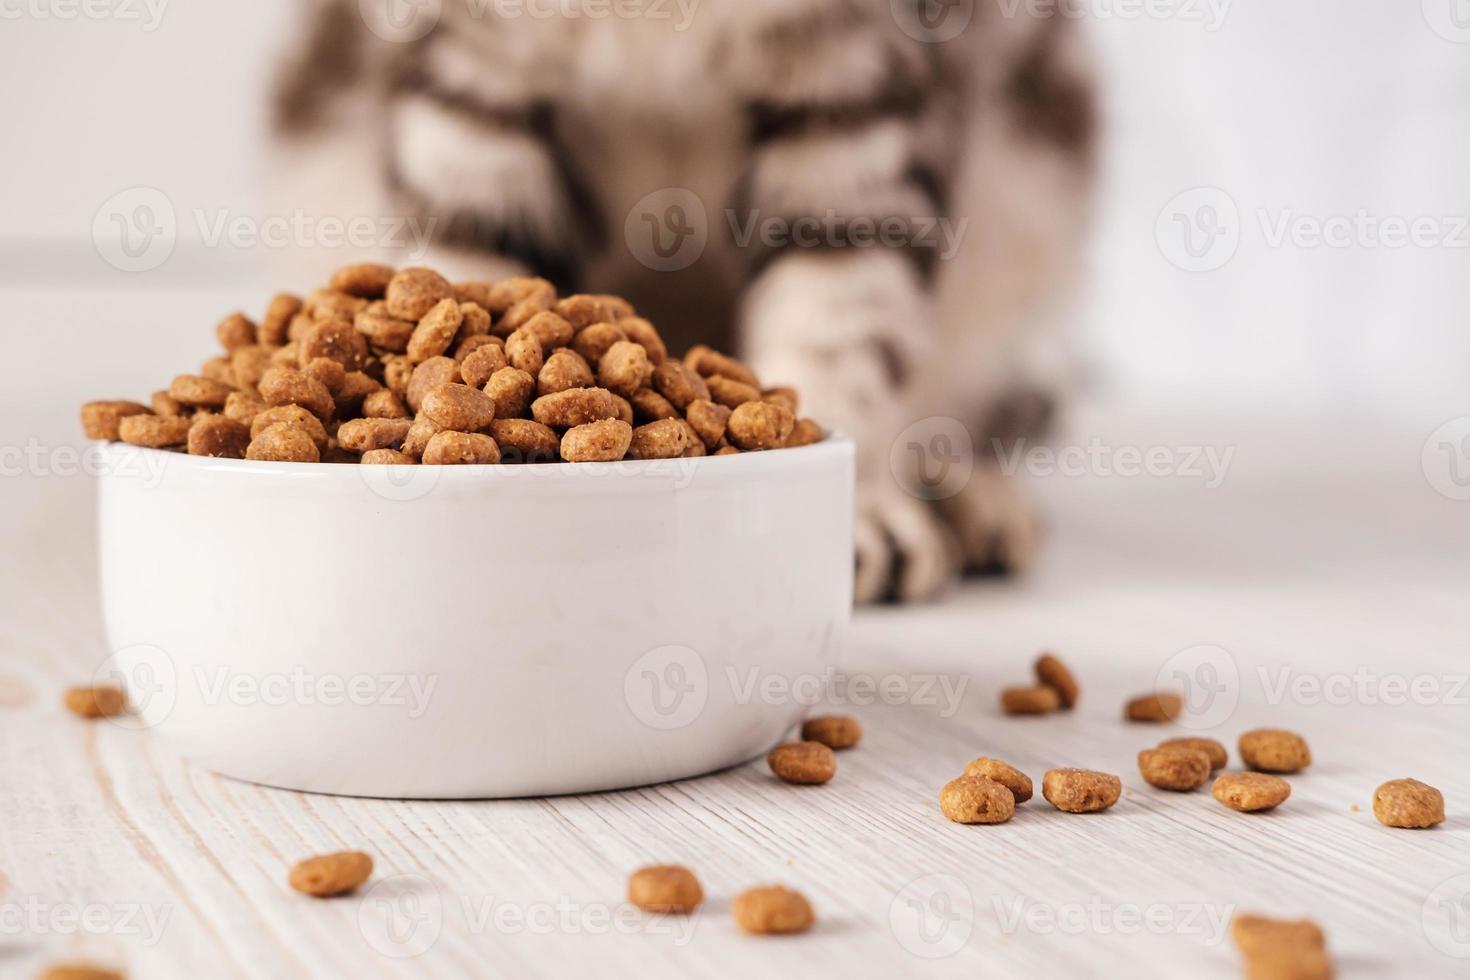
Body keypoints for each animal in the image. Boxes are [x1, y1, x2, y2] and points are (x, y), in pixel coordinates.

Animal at [273, 0, 1093, 602]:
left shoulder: (867, 76)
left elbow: (839, 317)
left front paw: (857, 512)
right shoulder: (461, 76)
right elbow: (469, 255)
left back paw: (969, 502)